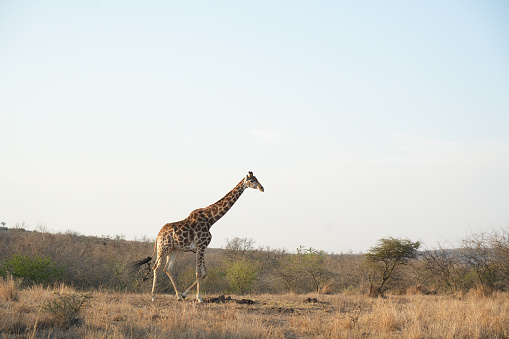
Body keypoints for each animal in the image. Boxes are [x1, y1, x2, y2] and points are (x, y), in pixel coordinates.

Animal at [132, 171, 262, 304]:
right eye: (252, 181)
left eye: (257, 179)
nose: (262, 188)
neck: (211, 220)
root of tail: (158, 235)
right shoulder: (200, 246)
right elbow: (198, 273)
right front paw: (199, 298)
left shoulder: (202, 248)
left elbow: (204, 273)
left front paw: (185, 294)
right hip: (163, 248)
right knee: (156, 268)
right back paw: (153, 297)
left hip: (174, 250)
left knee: (168, 269)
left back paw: (178, 296)